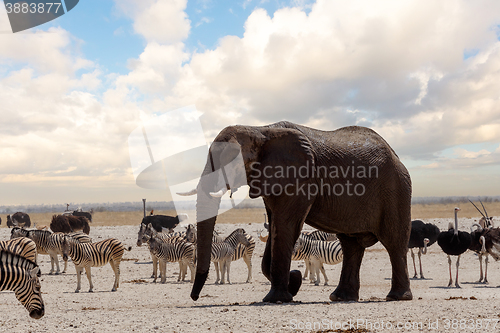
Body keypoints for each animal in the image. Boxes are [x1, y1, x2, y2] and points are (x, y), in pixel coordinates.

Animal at [178, 120, 412, 302]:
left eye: (231, 160)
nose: (194, 297)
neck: (261, 130)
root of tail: (396, 156)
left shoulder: (301, 178)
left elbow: (286, 226)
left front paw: (278, 297)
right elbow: (275, 227)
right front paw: (294, 283)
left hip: (396, 189)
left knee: (394, 242)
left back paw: (397, 297)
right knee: (351, 245)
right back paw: (341, 297)